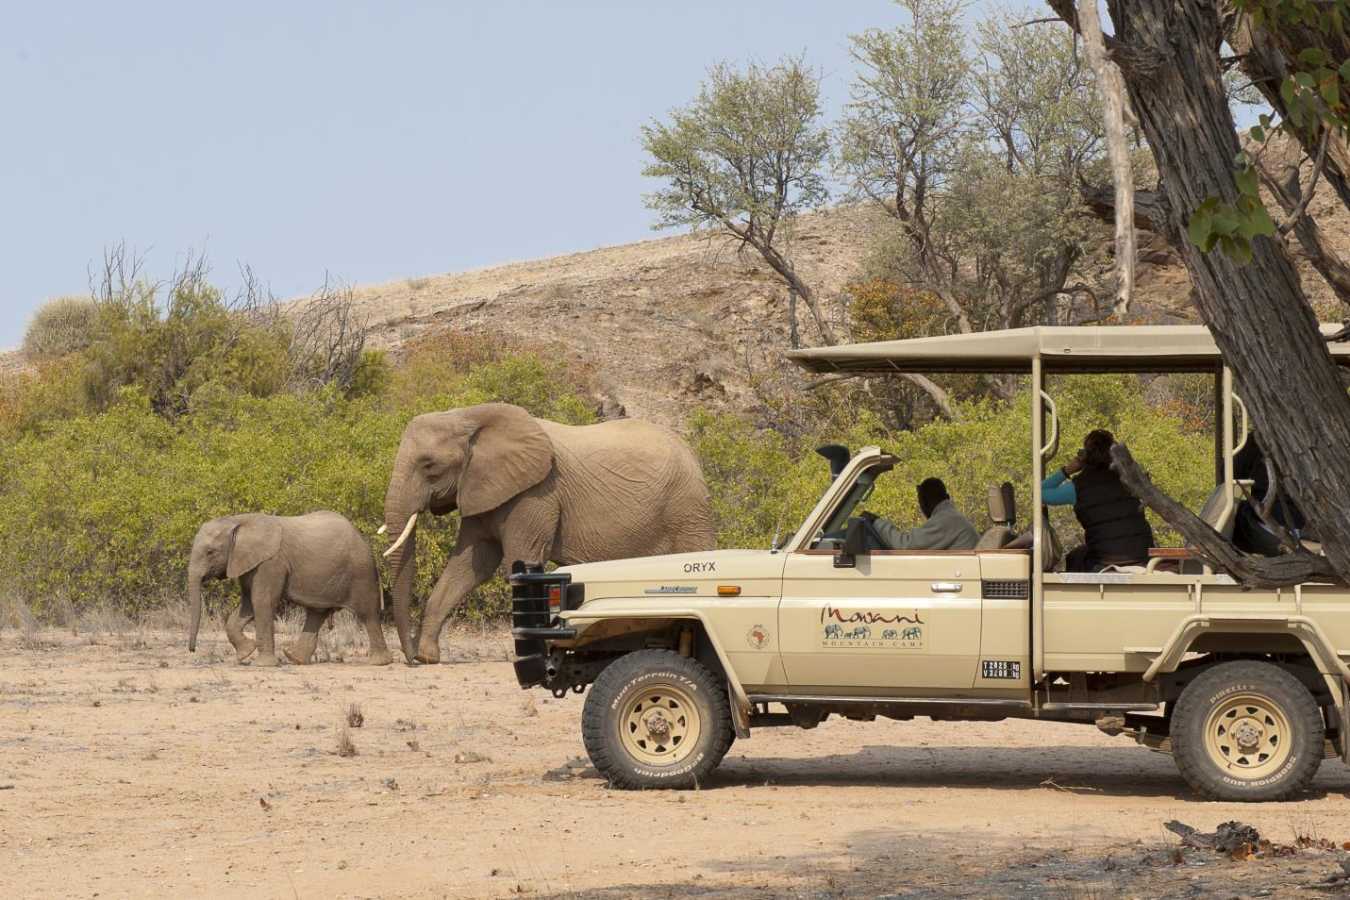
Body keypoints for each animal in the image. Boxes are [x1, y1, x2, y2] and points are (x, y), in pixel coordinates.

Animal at [187, 511, 392, 667]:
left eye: (210, 552)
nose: (192, 649)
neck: (239, 520)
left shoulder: (271, 563)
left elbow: (262, 601)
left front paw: (263, 665)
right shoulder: (247, 563)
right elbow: (248, 605)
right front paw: (245, 653)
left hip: (361, 573)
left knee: (367, 614)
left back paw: (379, 662)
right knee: (317, 613)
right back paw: (295, 659)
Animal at [382, 402, 715, 664]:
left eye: (428, 465)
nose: (409, 658)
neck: (469, 416)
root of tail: (693, 455)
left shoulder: (537, 493)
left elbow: (518, 562)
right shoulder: (483, 489)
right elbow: (470, 566)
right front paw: (428, 656)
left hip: (686, 509)